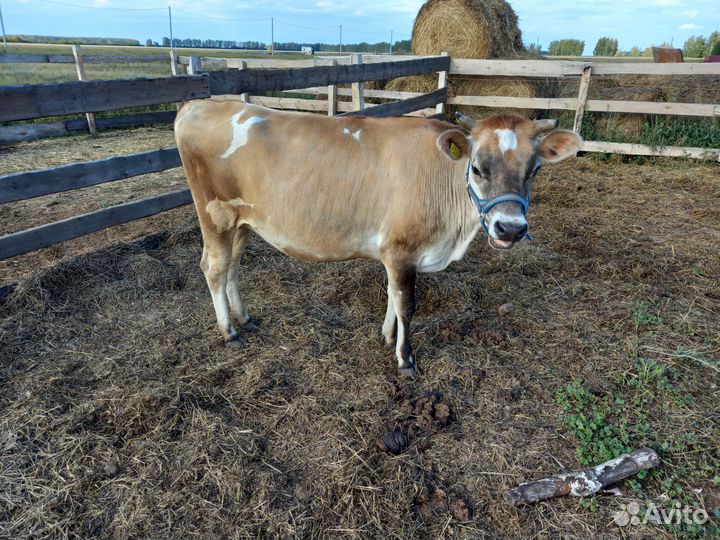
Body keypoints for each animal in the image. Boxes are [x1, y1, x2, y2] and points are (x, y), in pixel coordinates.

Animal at [174, 97, 582, 375]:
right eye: (478, 167)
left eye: (535, 170)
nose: (510, 228)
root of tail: (202, 103)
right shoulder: (402, 249)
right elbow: (406, 304)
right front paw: (405, 358)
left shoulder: (394, 252)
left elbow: (391, 296)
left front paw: (387, 336)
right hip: (215, 214)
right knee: (214, 267)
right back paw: (229, 331)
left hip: (243, 221)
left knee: (232, 267)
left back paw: (244, 318)